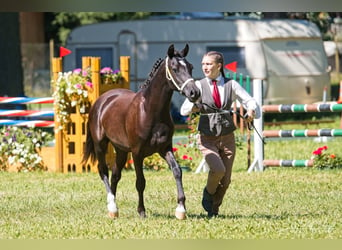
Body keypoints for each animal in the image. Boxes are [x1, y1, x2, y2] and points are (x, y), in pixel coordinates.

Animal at [83, 44, 200, 219]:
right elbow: (140, 182)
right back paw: (112, 206)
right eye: (174, 68)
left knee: (115, 174)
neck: (150, 111)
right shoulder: (137, 153)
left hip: (121, 150)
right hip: (100, 145)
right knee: (103, 171)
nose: (194, 93)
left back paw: (114, 209)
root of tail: (102, 100)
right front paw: (141, 211)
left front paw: (181, 209)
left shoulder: (165, 148)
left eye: (190, 67)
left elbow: (177, 171)